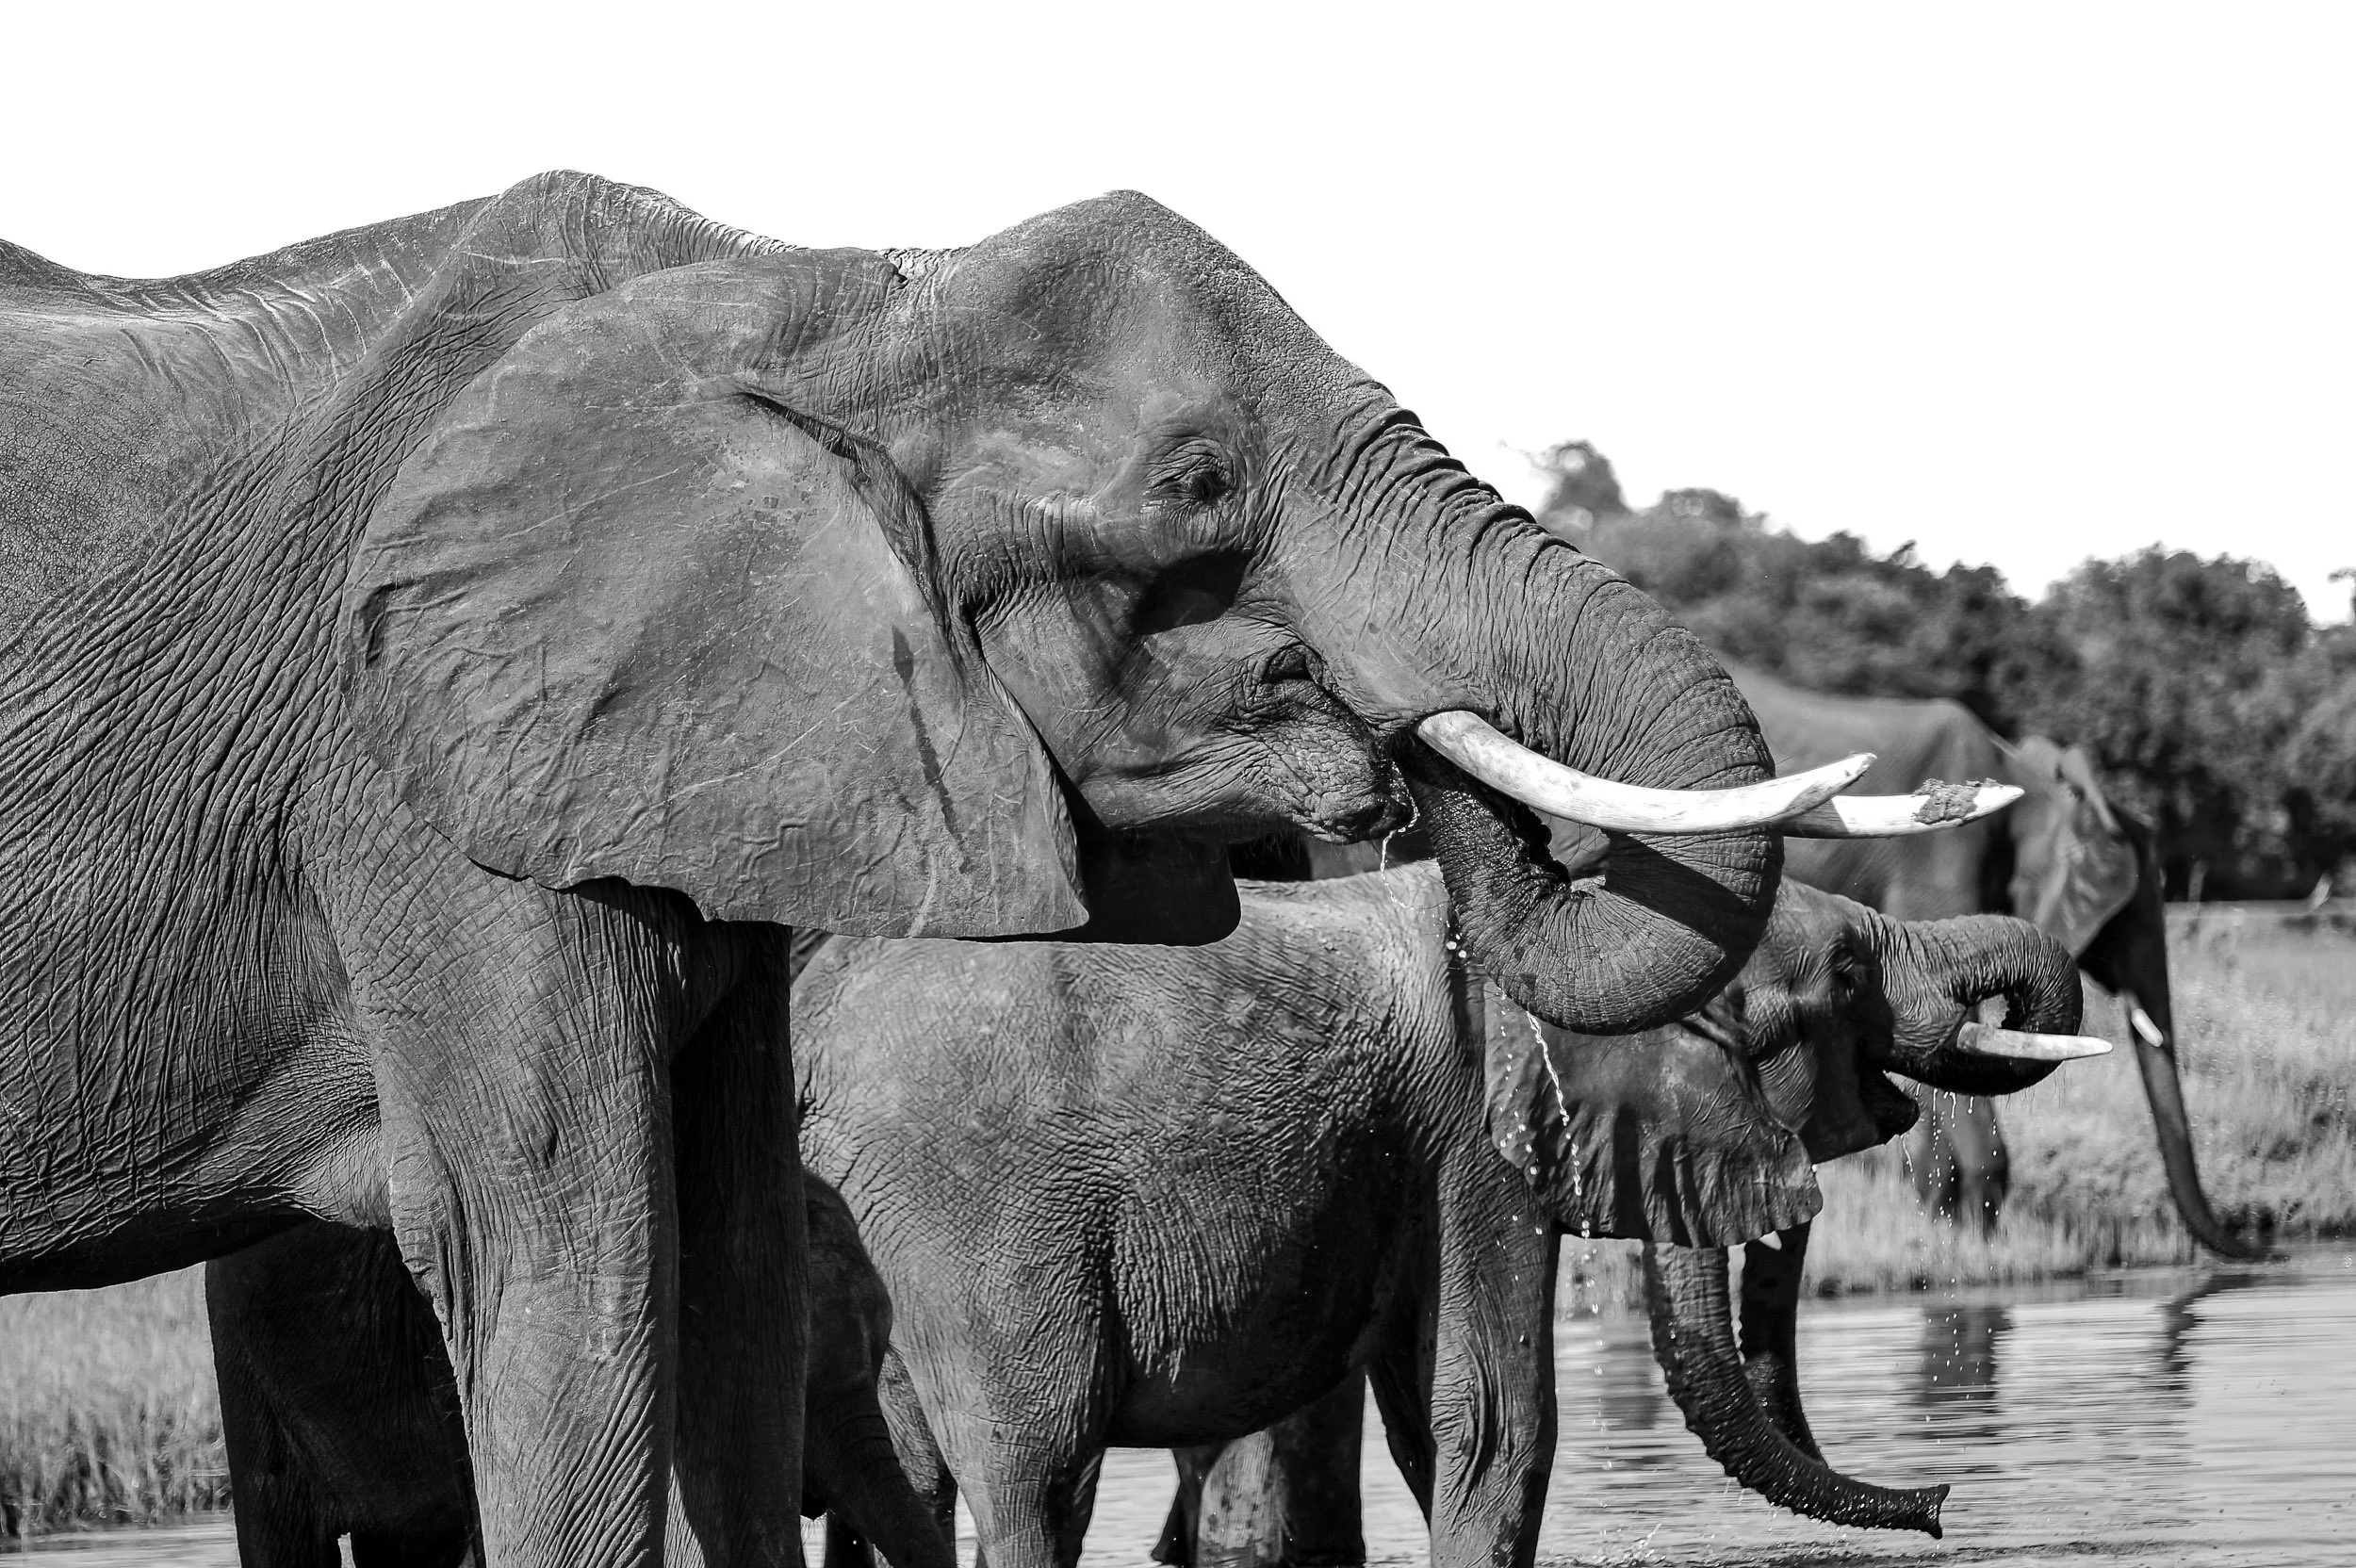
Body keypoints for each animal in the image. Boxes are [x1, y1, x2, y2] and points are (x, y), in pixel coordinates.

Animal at [791, 863, 2099, 1568]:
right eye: (1842, 974)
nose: (1941, 1502)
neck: (1581, 908)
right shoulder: (1476, 1141)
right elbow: (1493, 1425)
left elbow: (1436, 1422)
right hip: (981, 1222)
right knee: (1035, 1468)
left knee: (910, 1477)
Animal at [1729, 662, 2264, 1255]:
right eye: (2132, 918)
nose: (2256, 1245)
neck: (2030, 783)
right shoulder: (1942, 861)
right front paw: (1967, 1234)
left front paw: (1952, 1230)